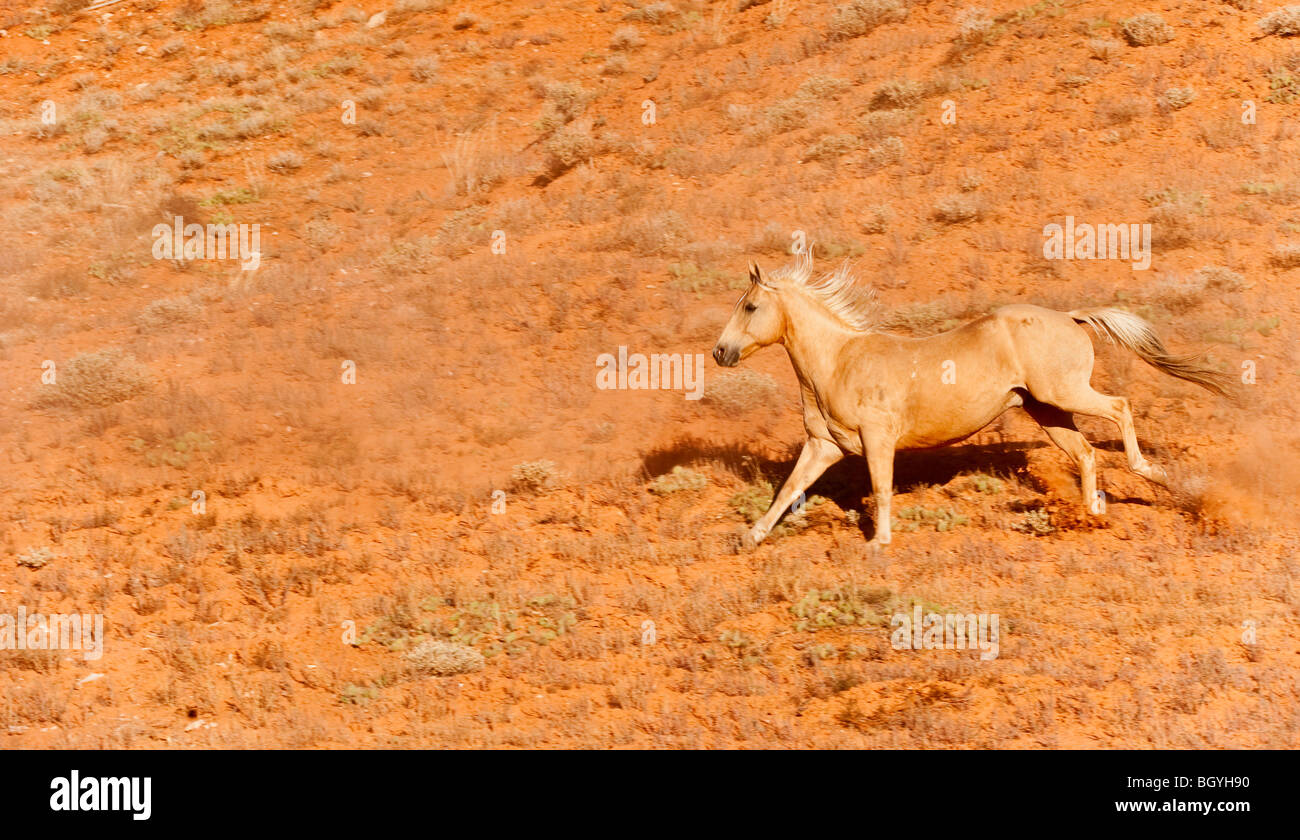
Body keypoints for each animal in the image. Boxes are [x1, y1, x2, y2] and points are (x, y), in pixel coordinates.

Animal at [712, 253, 1227, 548]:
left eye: (751, 306)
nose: (720, 352)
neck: (838, 361)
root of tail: (1070, 317)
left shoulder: (878, 440)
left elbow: (880, 488)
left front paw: (879, 543)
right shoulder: (824, 446)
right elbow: (788, 490)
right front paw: (750, 537)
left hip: (1063, 394)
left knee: (1119, 407)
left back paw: (1149, 474)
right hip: (1047, 410)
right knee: (1085, 453)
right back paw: (1091, 515)